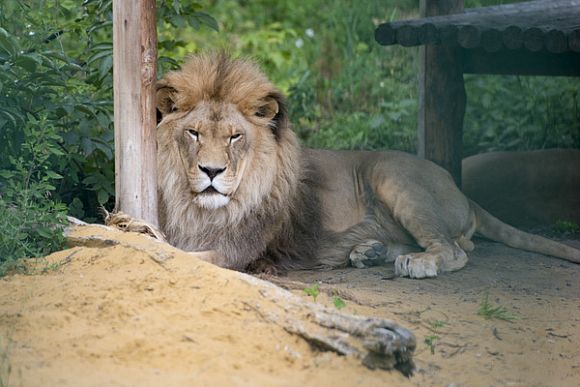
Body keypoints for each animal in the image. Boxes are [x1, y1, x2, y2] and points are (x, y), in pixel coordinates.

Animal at [153, 54, 580, 278]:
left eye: (234, 137)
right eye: (193, 133)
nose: (211, 172)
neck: (201, 208)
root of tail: (461, 190)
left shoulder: (237, 252)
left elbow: (185, 256)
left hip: (392, 176)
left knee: (457, 249)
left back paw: (416, 263)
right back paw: (367, 252)